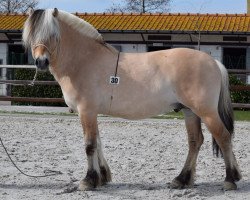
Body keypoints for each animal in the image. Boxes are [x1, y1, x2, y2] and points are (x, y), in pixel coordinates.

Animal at [22, 8, 241, 191]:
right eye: (32, 35)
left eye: (53, 35)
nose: (41, 62)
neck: (85, 60)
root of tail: (213, 61)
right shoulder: (92, 113)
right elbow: (98, 142)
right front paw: (103, 177)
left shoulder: (86, 111)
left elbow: (90, 145)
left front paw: (88, 181)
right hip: (190, 111)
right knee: (195, 141)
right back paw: (181, 179)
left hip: (206, 112)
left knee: (223, 137)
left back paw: (230, 180)